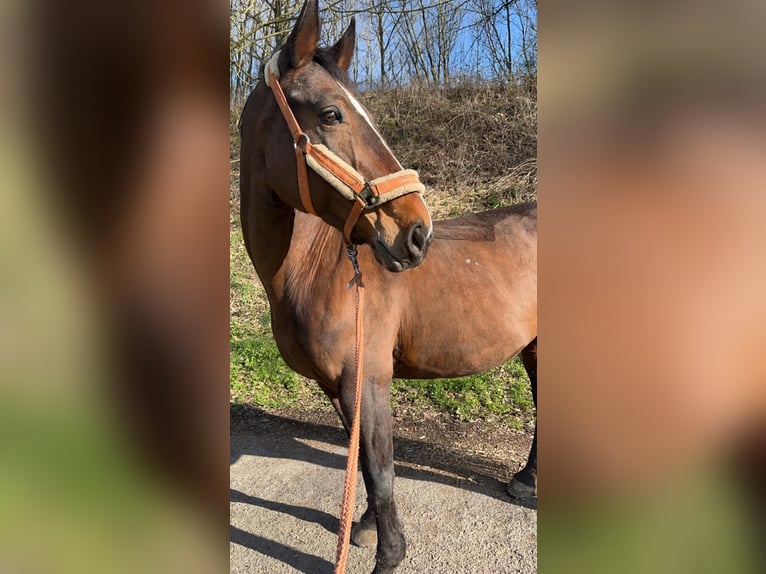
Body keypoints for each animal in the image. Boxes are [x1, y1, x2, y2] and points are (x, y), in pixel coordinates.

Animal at [242, 2, 540, 572]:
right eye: (331, 114)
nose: (417, 232)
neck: (313, 267)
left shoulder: (366, 377)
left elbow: (380, 470)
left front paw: (389, 552)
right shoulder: (337, 384)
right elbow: (361, 461)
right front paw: (363, 527)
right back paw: (527, 480)